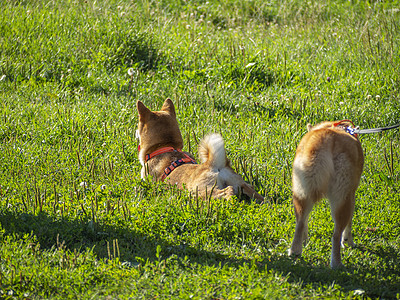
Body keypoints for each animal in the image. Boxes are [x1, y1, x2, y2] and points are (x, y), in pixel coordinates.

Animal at [136, 98, 264, 202]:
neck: (166, 146)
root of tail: (214, 164)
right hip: (241, 184)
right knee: (254, 193)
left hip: (201, 190)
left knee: (228, 191)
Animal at [290, 119, 364, 268]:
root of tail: (325, 138)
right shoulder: (352, 194)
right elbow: (349, 225)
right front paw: (349, 242)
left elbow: (305, 223)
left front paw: (305, 240)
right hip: (342, 199)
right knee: (336, 235)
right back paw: (337, 264)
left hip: (301, 194)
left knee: (300, 223)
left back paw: (295, 251)